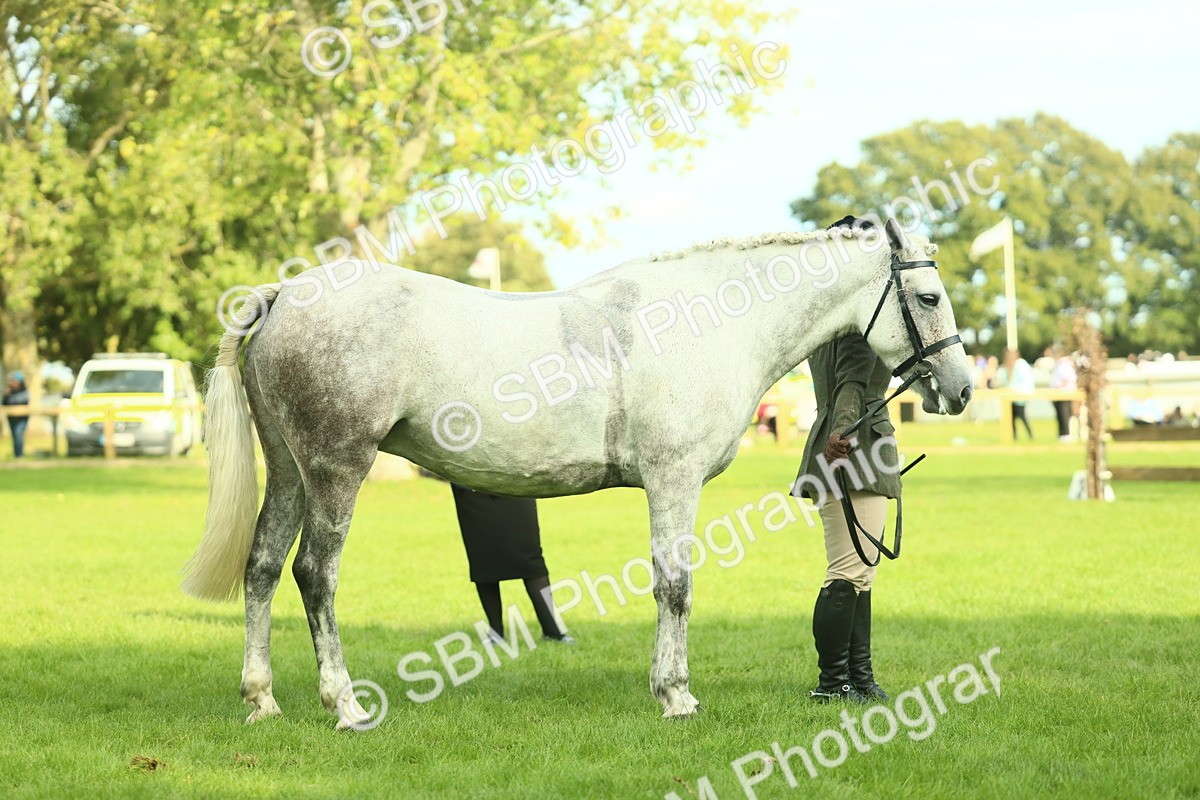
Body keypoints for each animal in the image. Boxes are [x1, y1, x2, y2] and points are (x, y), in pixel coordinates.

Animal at [182, 217, 973, 729]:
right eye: (929, 297)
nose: (961, 389)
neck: (706, 322)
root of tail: (281, 294)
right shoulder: (673, 480)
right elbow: (675, 586)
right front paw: (676, 696)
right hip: (336, 469)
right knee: (315, 575)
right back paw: (343, 705)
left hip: (289, 472)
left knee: (260, 568)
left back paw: (261, 700)